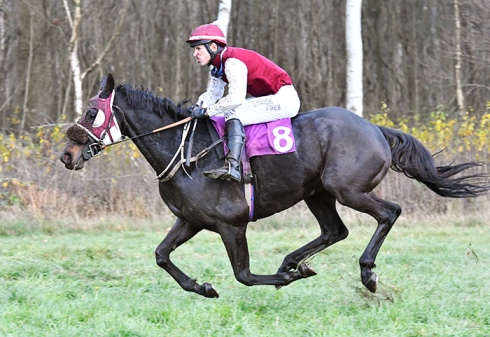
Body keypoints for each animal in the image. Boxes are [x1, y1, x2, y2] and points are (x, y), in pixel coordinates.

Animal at [60, 73, 490, 296]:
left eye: (92, 111)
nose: (66, 155)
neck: (186, 151)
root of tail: (375, 128)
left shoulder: (231, 224)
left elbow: (244, 275)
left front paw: (284, 278)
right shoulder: (191, 220)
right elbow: (162, 255)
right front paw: (202, 287)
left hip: (346, 189)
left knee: (390, 212)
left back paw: (365, 273)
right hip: (318, 193)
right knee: (335, 230)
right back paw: (293, 261)